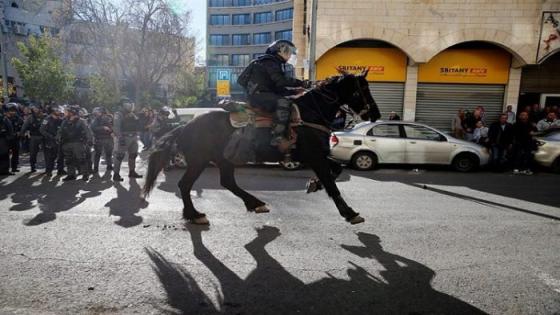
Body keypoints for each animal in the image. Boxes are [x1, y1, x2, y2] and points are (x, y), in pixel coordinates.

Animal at [144, 70, 380, 226]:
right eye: (362, 90)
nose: (375, 114)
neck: (310, 113)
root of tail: (185, 125)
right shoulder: (315, 157)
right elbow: (333, 185)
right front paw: (349, 212)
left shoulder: (314, 156)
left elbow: (336, 170)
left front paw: (314, 184)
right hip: (199, 160)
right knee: (185, 185)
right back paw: (194, 214)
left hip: (223, 159)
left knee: (227, 182)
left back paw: (254, 203)